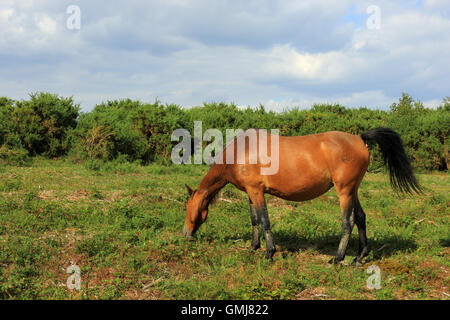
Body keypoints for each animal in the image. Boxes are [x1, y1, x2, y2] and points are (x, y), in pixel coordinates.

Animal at [183, 127, 422, 264]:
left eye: (187, 208)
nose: (185, 234)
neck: (242, 151)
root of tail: (359, 138)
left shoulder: (257, 191)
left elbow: (264, 221)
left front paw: (269, 253)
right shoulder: (251, 193)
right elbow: (254, 220)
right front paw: (254, 246)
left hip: (344, 191)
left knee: (349, 221)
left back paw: (337, 258)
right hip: (353, 190)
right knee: (361, 217)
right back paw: (360, 256)